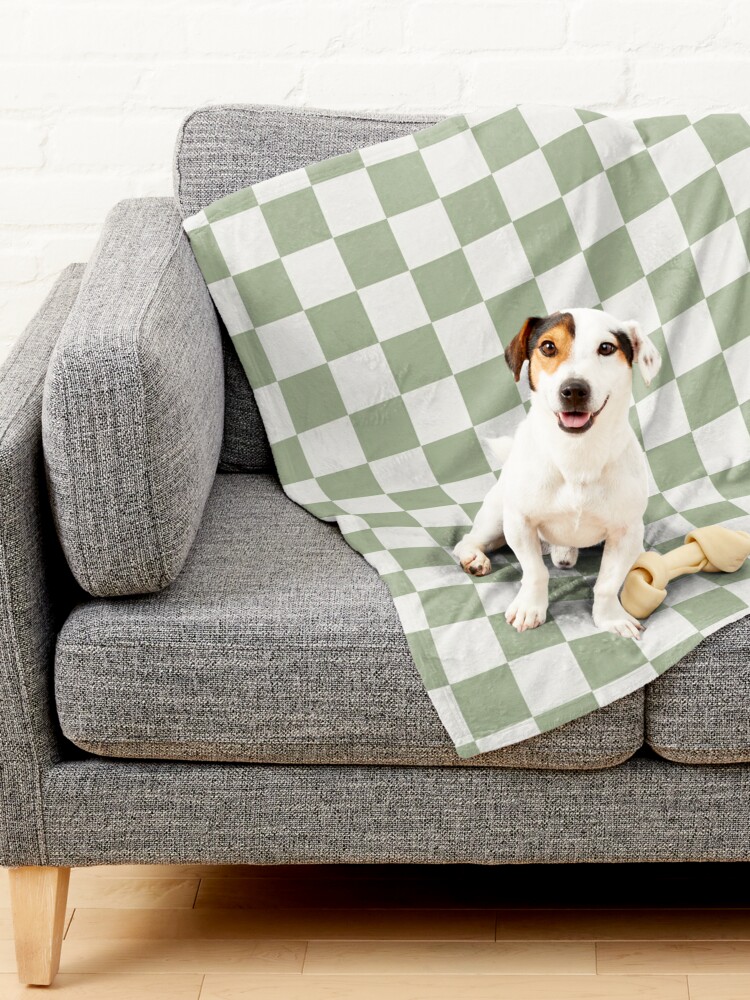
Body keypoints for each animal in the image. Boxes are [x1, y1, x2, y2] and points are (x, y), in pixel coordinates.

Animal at [456, 308, 660, 640]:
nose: (574, 389)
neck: (576, 456)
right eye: (548, 347)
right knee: (468, 539)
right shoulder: (520, 522)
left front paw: (611, 618)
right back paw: (474, 557)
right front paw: (530, 609)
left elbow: (607, 583)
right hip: (496, 516)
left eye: (607, 347)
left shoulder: (626, 532)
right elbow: (535, 572)